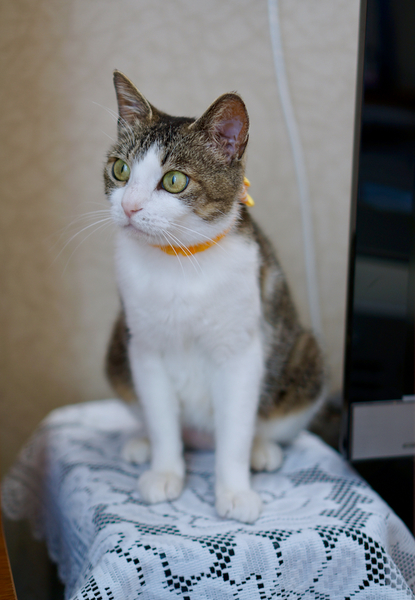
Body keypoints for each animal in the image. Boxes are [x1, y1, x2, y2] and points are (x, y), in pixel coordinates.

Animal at [105, 70, 325, 523]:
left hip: (304, 358)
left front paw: (235, 491)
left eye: (174, 180)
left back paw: (262, 449)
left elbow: (236, 429)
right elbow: (161, 417)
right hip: (117, 347)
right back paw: (142, 442)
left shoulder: (240, 350)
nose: (129, 207)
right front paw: (165, 470)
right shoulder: (143, 346)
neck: (179, 263)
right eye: (120, 170)